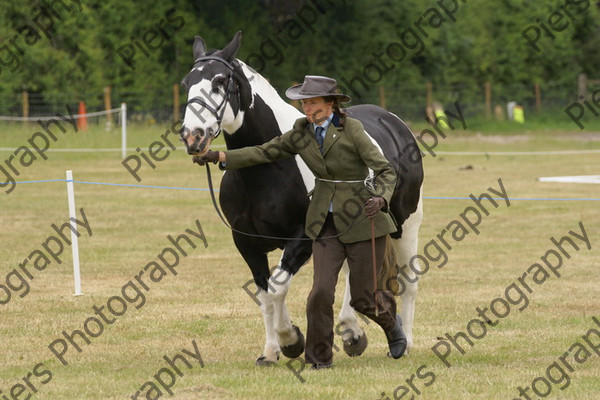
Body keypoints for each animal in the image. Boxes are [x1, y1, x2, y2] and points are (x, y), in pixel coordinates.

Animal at [180, 31, 424, 364]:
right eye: (186, 83)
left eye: (219, 81)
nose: (193, 136)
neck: (267, 168)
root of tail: (394, 122)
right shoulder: (245, 241)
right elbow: (264, 293)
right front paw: (270, 351)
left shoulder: (302, 238)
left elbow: (277, 288)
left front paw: (292, 341)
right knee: (353, 274)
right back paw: (352, 333)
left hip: (405, 225)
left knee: (408, 280)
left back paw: (405, 341)